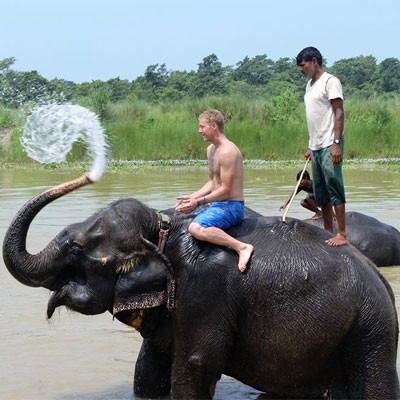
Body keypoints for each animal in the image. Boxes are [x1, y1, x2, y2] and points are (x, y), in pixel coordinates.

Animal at [3, 174, 400, 400]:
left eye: (79, 249)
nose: (87, 174)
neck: (160, 226)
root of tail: (384, 287)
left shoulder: (206, 291)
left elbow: (195, 365)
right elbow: (149, 368)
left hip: (370, 333)